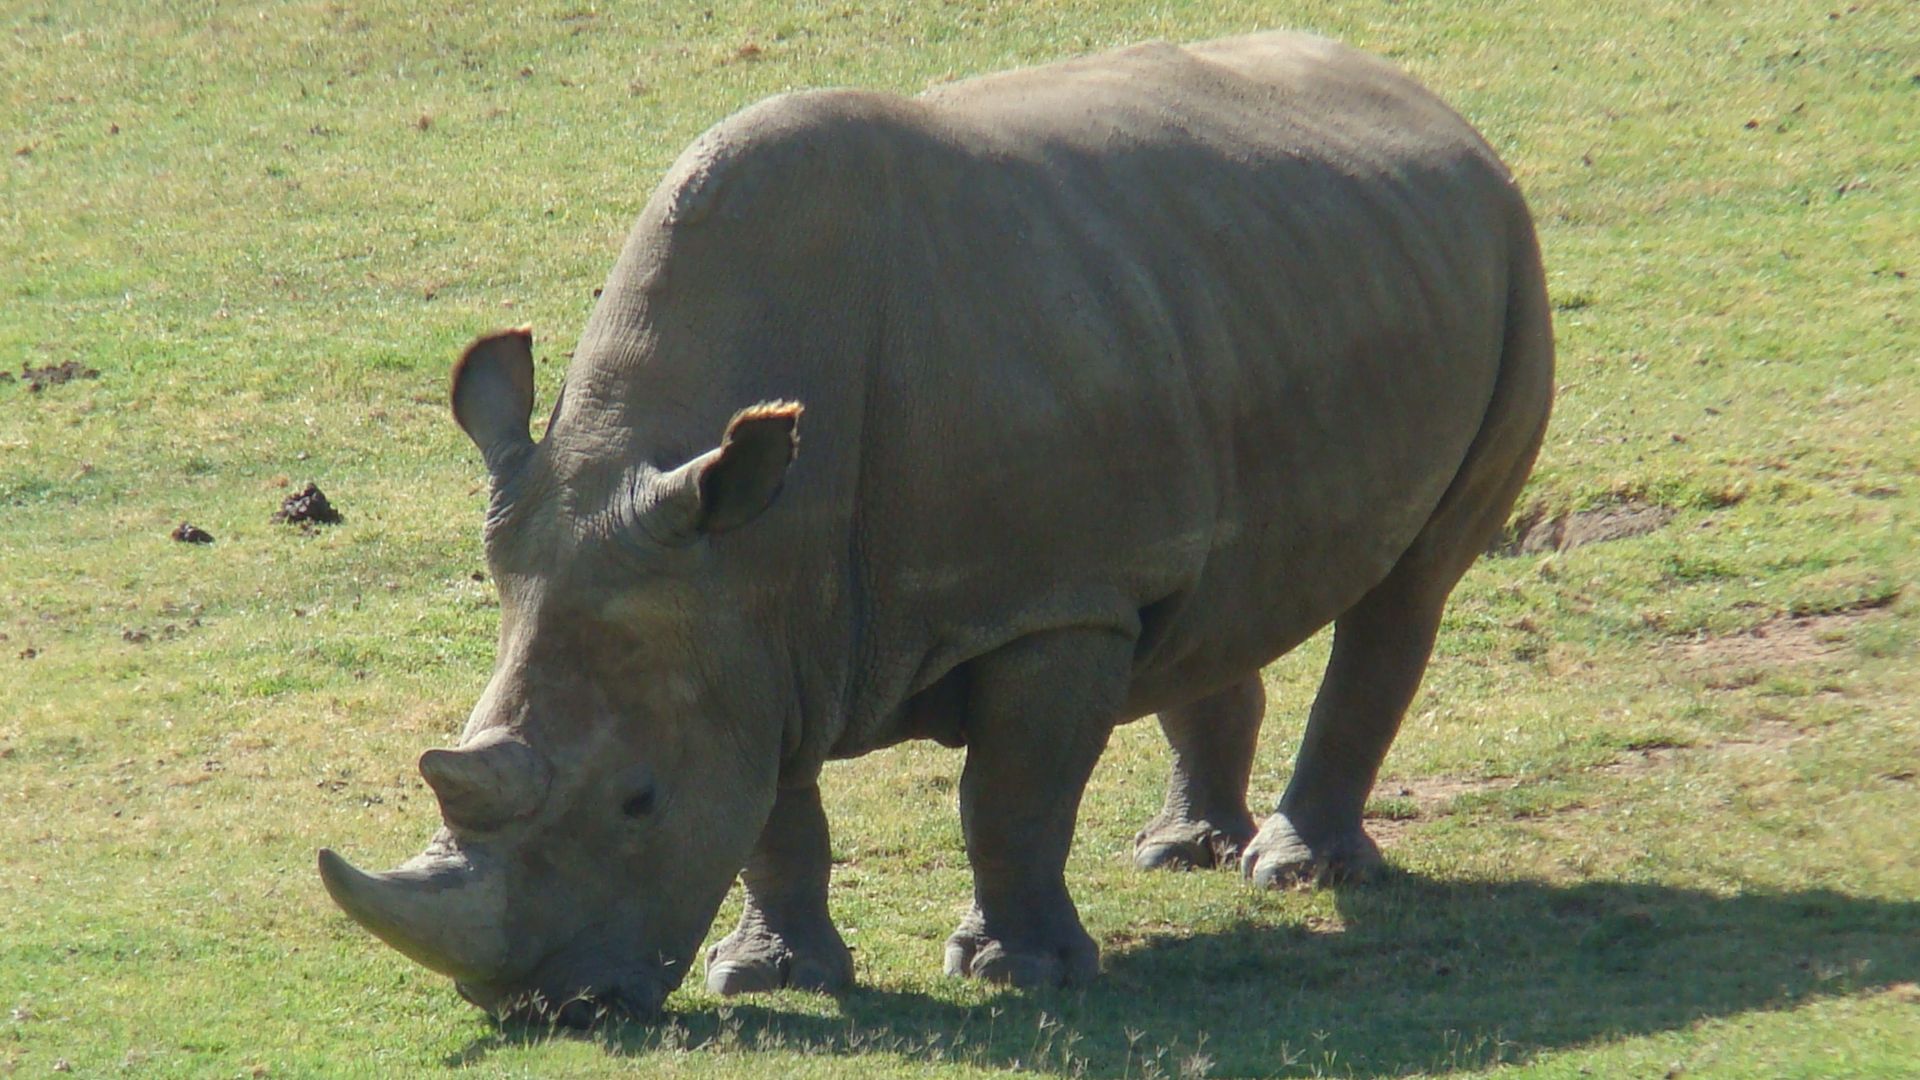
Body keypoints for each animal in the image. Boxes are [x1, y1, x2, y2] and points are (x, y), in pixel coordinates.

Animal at [318, 30, 1552, 1025]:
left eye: (639, 801)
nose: (543, 1007)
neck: (757, 544)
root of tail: (1434, 105)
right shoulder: (742, 620)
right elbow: (772, 814)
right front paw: (768, 979)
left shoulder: (1048, 604)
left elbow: (1008, 797)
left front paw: (1018, 976)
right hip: (1248, 285)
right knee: (1206, 593)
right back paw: (1179, 853)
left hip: (1510, 254)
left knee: (1407, 592)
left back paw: (1300, 875)